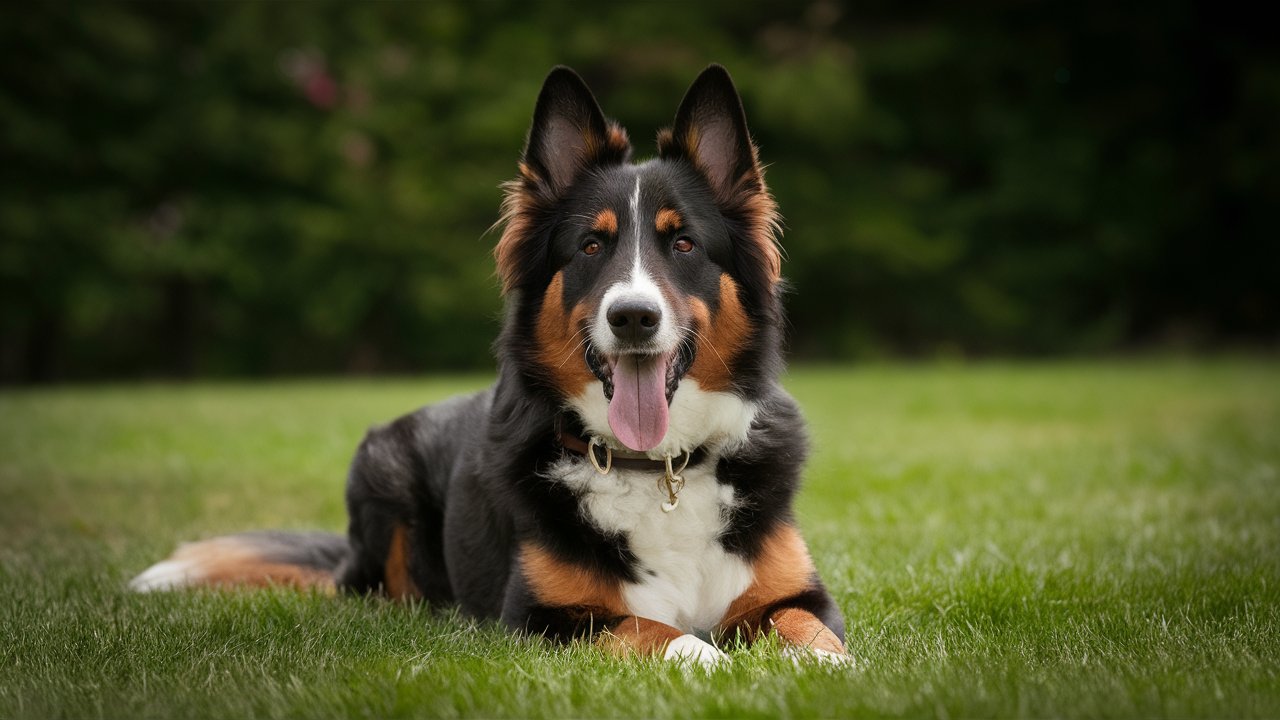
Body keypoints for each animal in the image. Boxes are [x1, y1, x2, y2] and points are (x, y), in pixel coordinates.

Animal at [132, 64, 849, 666]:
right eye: (592, 245)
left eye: (685, 244)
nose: (633, 318)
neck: (655, 469)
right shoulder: (541, 616)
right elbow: (656, 630)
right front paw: (712, 663)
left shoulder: (795, 594)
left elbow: (811, 632)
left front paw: (829, 672)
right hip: (382, 481)